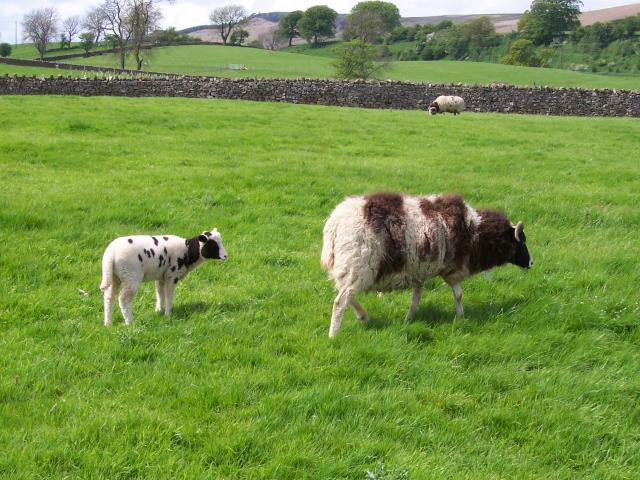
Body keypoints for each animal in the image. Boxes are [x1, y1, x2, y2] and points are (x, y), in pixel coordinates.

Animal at [99, 229, 229, 326]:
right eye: (213, 244)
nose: (226, 256)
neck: (188, 251)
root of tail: (110, 254)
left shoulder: (161, 276)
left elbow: (160, 294)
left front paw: (159, 311)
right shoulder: (172, 276)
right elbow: (169, 296)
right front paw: (167, 314)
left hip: (114, 276)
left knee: (109, 297)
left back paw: (108, 323)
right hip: (131, 277)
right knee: (123, 299)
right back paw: (129, 322)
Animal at [320, 194, 536, 338]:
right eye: (521, 241)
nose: (532, 262)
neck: (476, 232)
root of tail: (334, 224)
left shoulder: (419, 271)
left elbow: (416, 297)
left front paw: (408, 319)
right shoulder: (452, 270)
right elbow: (458, 295)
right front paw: (461, 317)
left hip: (352, 268)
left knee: (346, 295)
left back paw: (363, 317)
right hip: (358, 265)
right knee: (340, 301)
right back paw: (333, 334)